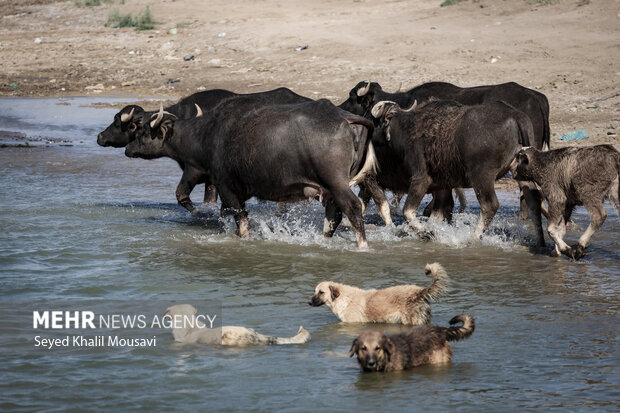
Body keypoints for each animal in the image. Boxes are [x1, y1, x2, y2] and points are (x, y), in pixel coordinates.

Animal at [126, 98, 378, 248]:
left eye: (143, 131)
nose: (128, 149)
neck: (206, 135)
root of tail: (343, 117)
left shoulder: (226, 186)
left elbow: (240, 219)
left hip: (336, 182)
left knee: (353, 207)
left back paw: (362, 245)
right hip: (333, 187)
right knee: (333, 214)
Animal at [368, 98, 544, 243]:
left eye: (375, 125)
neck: (406, 129)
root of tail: (516, 116)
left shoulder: (420, 179)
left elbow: (408, 212)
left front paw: (426, 233)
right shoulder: (442, 185)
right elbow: (438, 213)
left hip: (482, 177)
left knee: (490, 205)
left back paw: (473, 239)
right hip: (522, 173)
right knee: (535, 202)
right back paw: (540, 242)